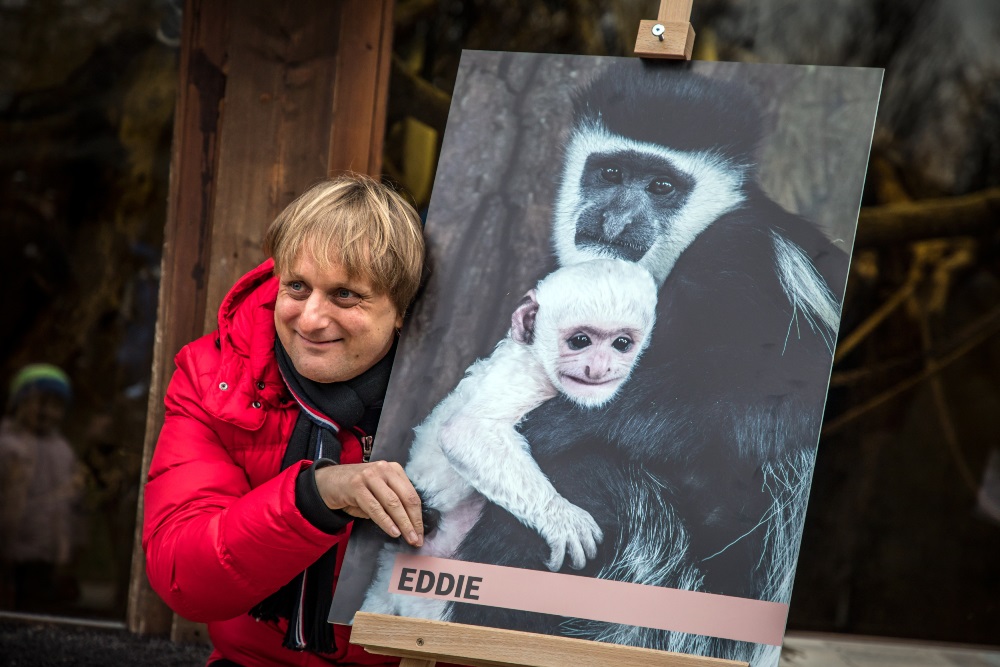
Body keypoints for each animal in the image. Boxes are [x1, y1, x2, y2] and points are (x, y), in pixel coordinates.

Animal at [360, 258, 656, 620]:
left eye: (621, 344)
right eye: (580, 341)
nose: (599, 368)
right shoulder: (524, 377)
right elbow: (468, 432)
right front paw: (560, 518)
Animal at [450, 62, 848, 667]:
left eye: (663, 187)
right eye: (610, 172)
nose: (614, 219)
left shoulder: (743, 262)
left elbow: (791, 402)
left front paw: (550, 425)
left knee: (589, 479)